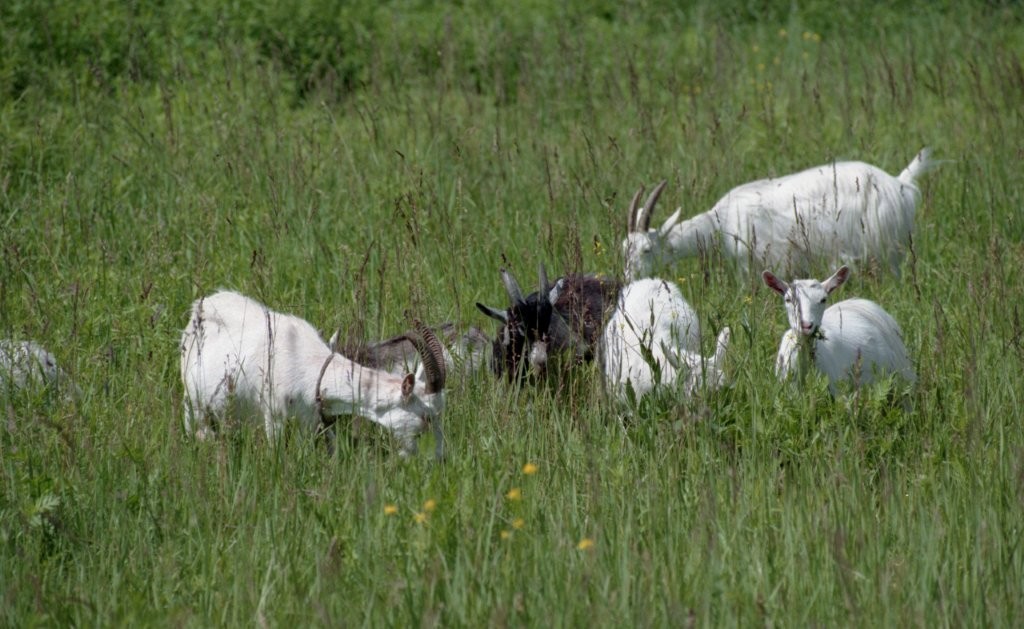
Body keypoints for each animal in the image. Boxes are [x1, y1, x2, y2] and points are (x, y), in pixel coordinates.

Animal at [180, 290, 448, 459]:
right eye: (426, 416)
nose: (441, 457)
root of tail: (200, 306)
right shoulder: (274, 417)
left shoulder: (311, 422)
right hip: (192, 402)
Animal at [623, 149, 937, 281]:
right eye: (624, 248)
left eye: (647, 249)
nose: (628, 278)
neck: (721, 221)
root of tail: (899, 183)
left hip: (883, 249)